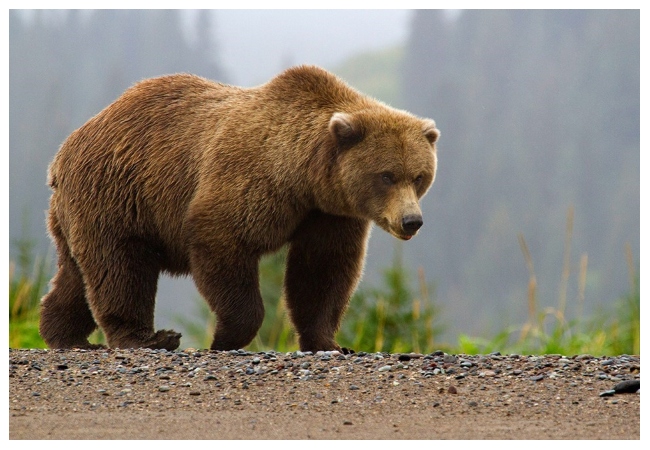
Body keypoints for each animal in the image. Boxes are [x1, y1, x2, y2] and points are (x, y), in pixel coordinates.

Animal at [38, 66, 438, 352]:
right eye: (386, 175)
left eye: (419, 176)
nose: (412, 221)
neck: (304, 178)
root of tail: (64, 151)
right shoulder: (250, 180)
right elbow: (222, 241)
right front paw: (224, 338)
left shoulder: (329, 214)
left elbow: (323, 271)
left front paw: (329, 342)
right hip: (118, 194)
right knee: (120, 268)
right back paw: (147, 338)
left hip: (81, 211)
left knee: (77, 274)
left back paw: (64, 334)